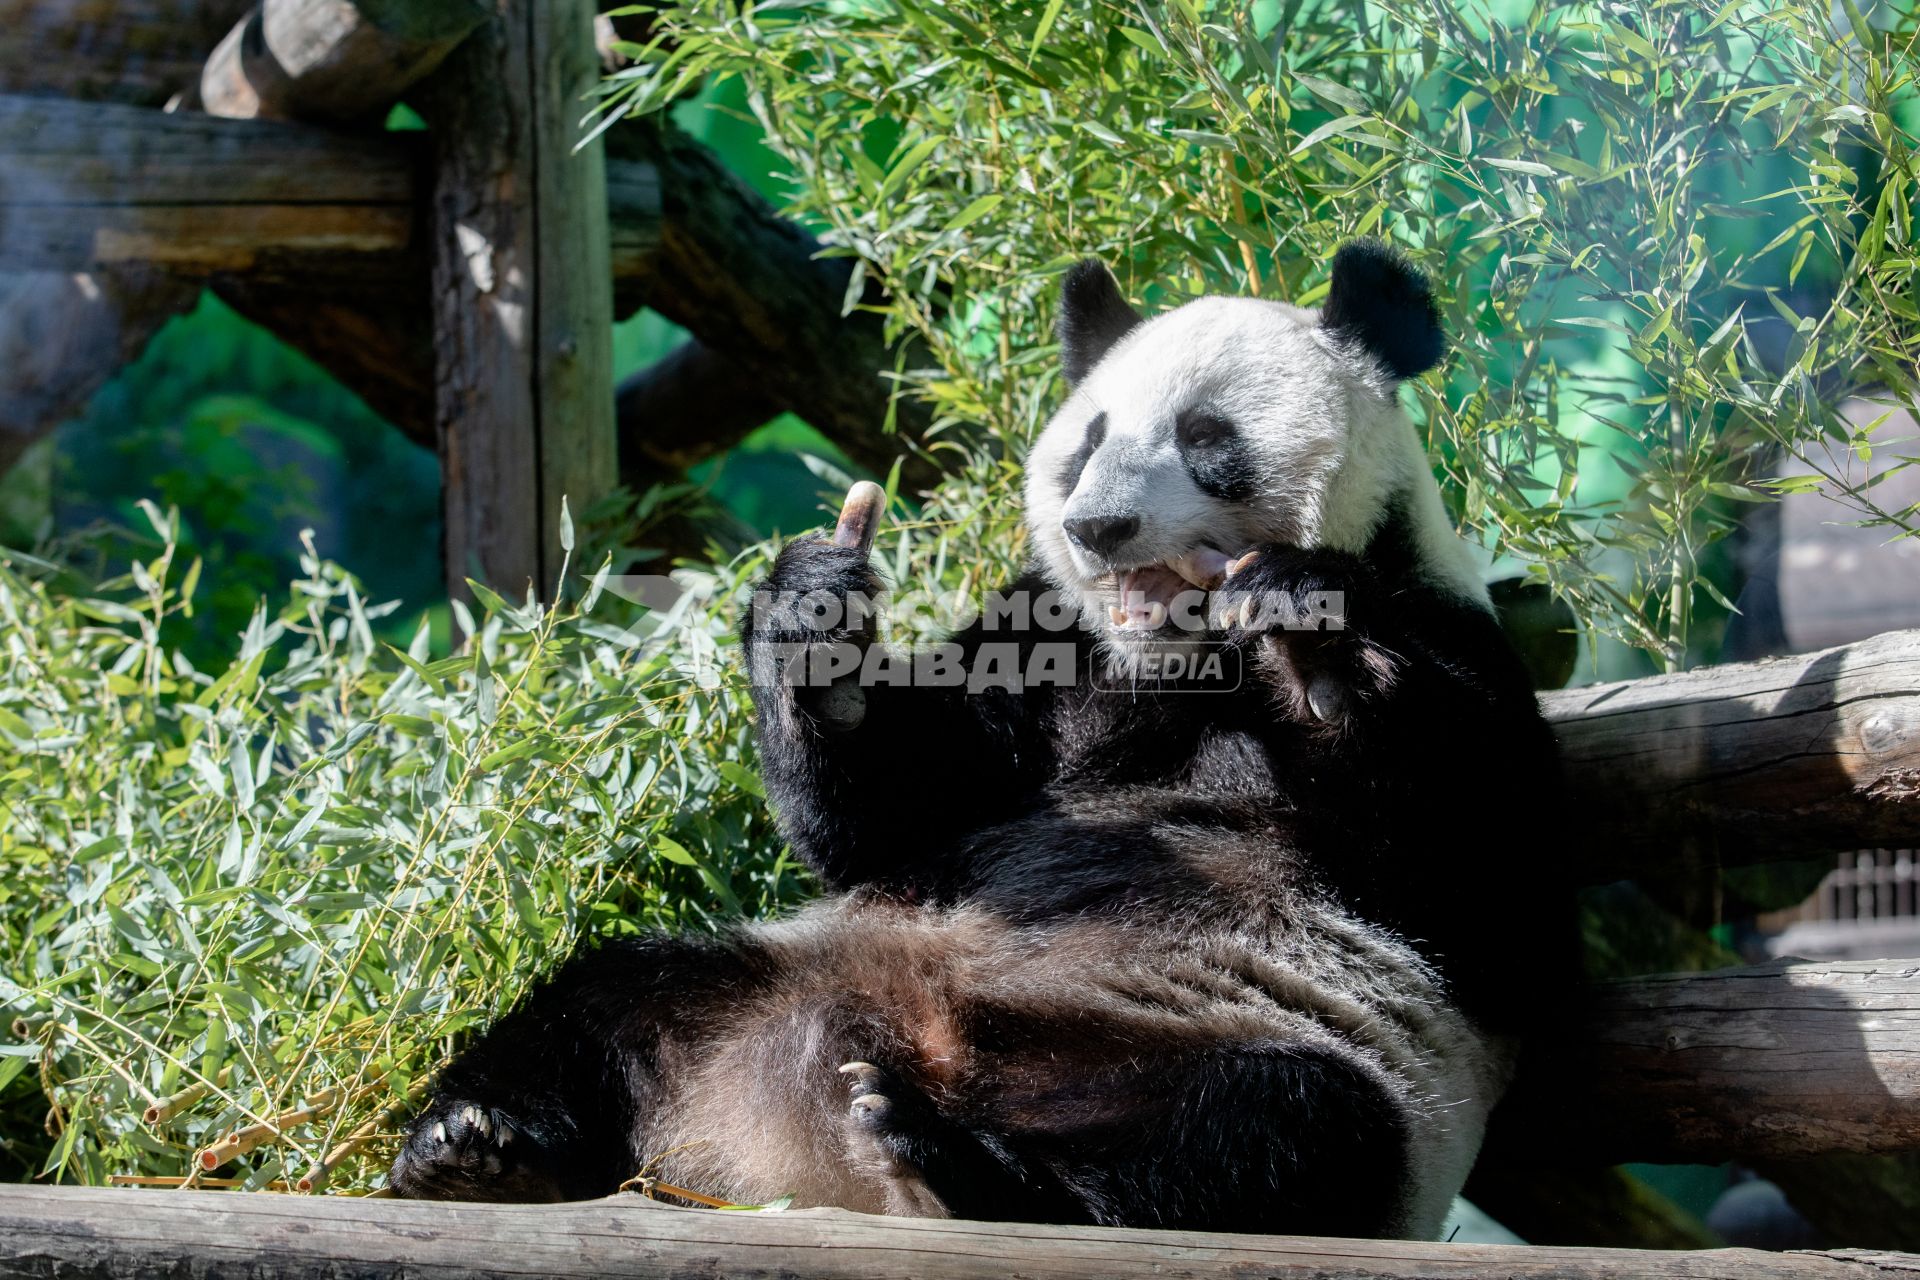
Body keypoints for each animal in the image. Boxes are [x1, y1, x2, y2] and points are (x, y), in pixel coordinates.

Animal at [385, 239, 1559, 1243]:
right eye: (1087, 443)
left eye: (1206, 439)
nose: (1096, 527)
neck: (1176, 665)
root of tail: (783, 1153)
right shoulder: (1047, 650)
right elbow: (894, 812)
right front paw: (817, 619)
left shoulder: (1470, 652)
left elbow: (1475, 865)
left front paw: (1313, 642)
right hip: (774, 971)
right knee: (609, 994)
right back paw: (477, 1148)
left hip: (1274, 1045)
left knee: (1273, 1127)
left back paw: (957, 1164)